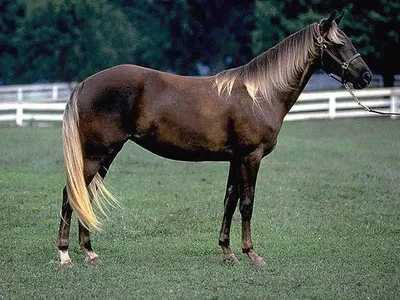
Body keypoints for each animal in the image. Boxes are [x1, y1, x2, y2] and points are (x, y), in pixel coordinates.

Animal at [56, 11, 372, 268]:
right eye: (338, 44)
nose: (366, 76)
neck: (260, 94)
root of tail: (85, 84)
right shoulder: (251, 157)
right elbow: (247, 203)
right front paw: (252, 254)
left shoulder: (235, 159)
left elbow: (230, 201)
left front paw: (228, 252)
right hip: (96, 154)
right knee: (71, 196)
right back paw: (65, 255)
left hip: (105, 155)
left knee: (85, 197)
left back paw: (90, 252)